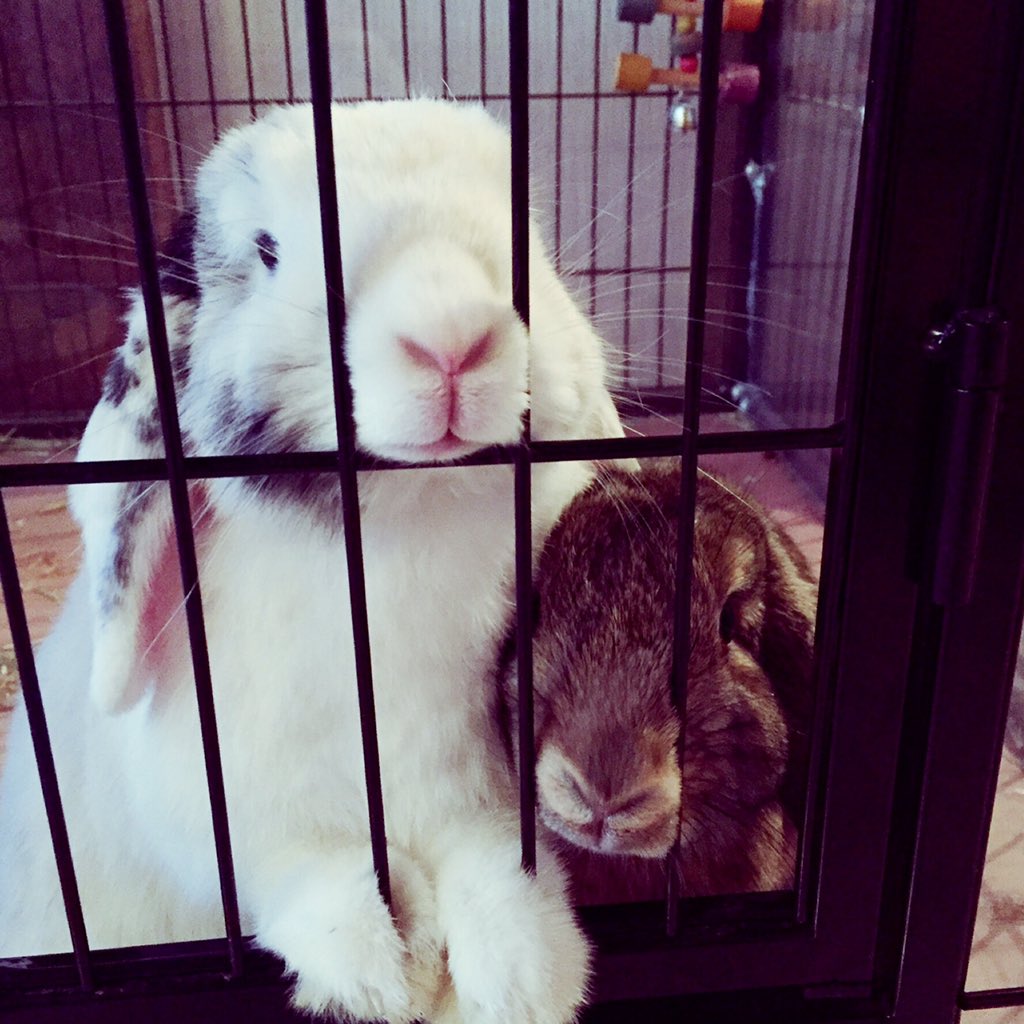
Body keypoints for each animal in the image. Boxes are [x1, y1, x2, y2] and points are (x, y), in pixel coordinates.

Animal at [0, 100, 629, 1024]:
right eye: (268, 251)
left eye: (528, 234)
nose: (452, 339)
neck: (403, 521)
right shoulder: (236, 823)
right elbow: (308, 876)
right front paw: (385, 965)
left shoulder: (485, 799)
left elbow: (495, 865)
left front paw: (524, 975)